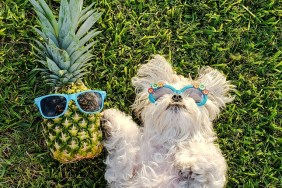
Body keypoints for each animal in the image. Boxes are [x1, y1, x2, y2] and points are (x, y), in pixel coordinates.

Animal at [102, 55, 235, 187]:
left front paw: (188, 162)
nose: (177, 96)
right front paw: (112, 118)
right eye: (163, 93)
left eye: (193, 96)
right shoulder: (120, 176)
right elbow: (125, 149)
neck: (171, 136)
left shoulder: (207, 182)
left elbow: (209, 157)